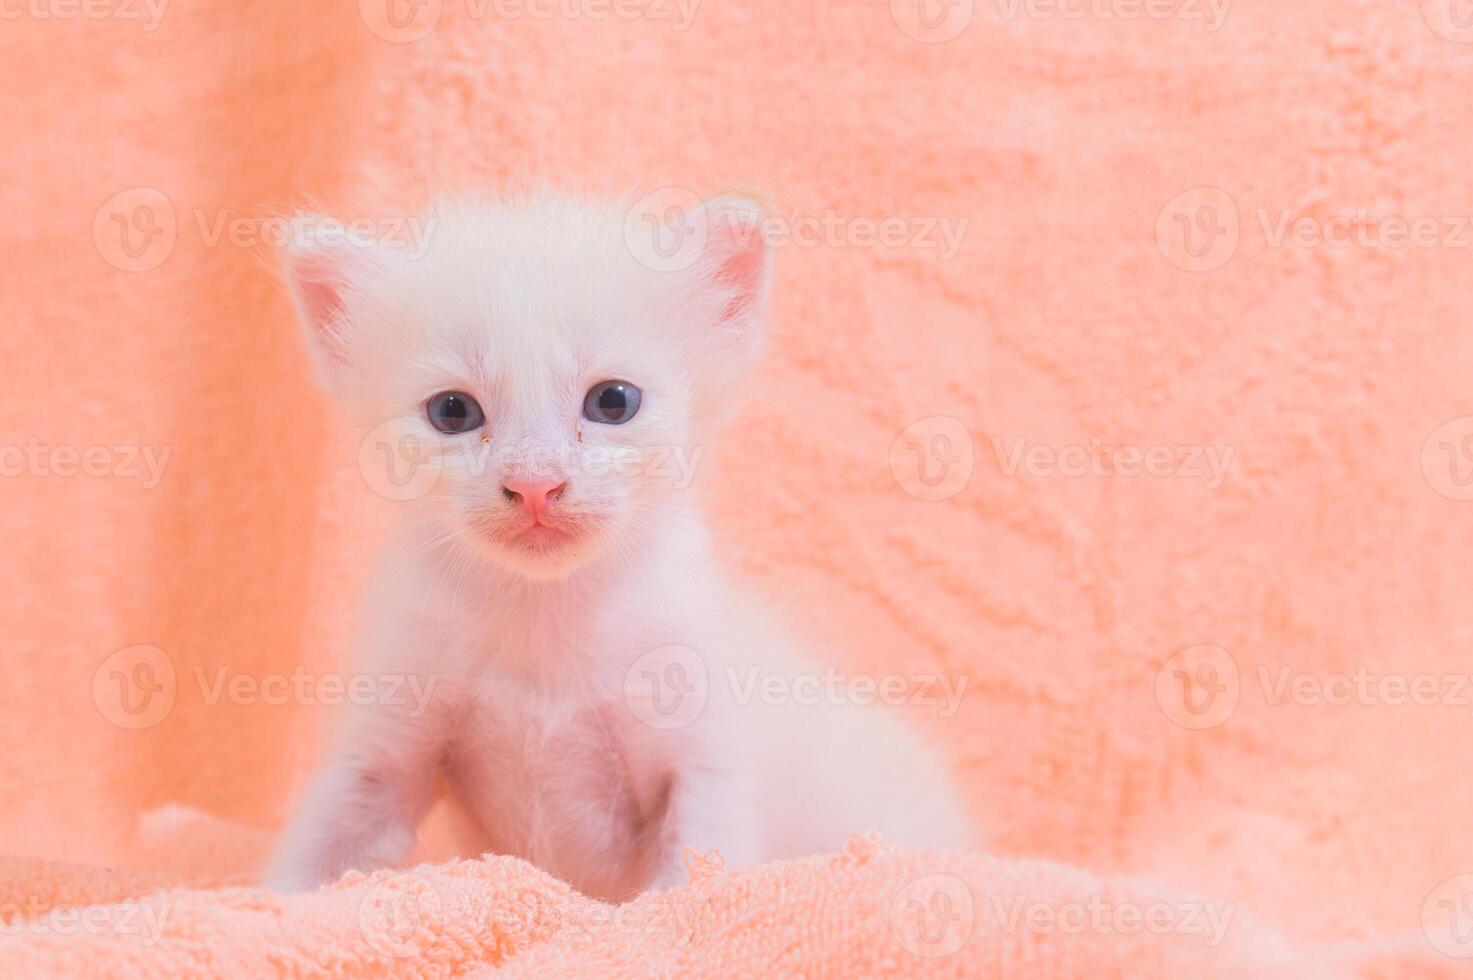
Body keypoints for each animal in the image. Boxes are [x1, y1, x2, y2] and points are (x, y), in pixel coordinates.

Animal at [266, 188, 972, 896]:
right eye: (452, 412)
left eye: (613, 402)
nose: (535, 485)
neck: (544, 616)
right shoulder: (385, 742)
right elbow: (317, 855)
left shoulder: (706, 759)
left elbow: (687, 880)